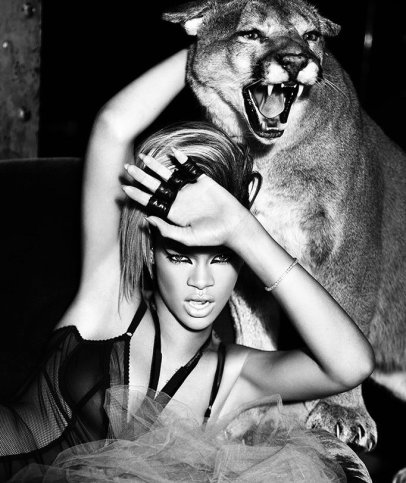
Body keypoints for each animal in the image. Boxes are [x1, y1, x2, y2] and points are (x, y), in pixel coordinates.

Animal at [163, 0, 406, 466]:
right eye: (252, 34)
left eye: (311, 36)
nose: (296, 61)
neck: (267, 157)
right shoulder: (245, 262)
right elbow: (256, 335)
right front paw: (254, 407)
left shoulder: (351, 249)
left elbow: (350, 315)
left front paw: (342, 411)